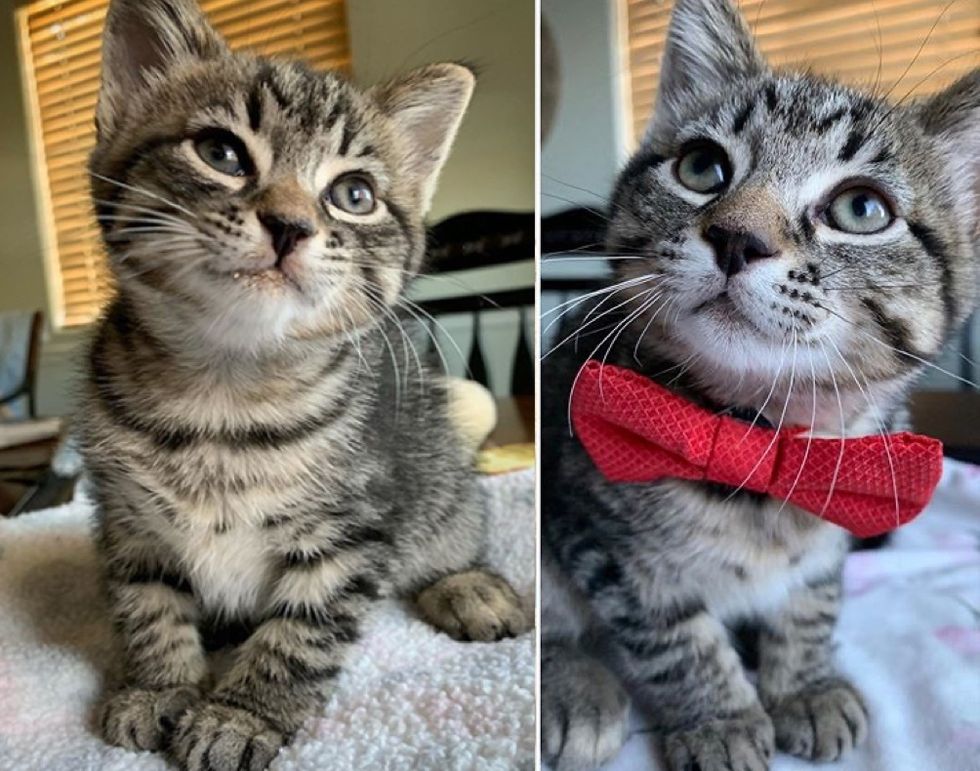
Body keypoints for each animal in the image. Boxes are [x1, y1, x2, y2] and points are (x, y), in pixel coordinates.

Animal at [77, 1, 528, 771]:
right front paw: (157, 684)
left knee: (457, 526)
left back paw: (468, 584)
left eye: (354, 196)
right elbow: (149, 604)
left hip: (434, 473)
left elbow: (302, 631)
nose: (289, 224)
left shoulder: (352, 529)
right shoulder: (129, 523)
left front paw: (241, 715)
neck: (224, 388)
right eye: (222, 153)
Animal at [540, 1, 976, 771]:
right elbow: (670, 632)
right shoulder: (594, 532)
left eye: (862, 209)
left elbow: (812, 596)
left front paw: (803, 682)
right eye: (701, 166)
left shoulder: (837, 511)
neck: (756, 438)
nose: (738, 236)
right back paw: (576, 684)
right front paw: (720, 716)